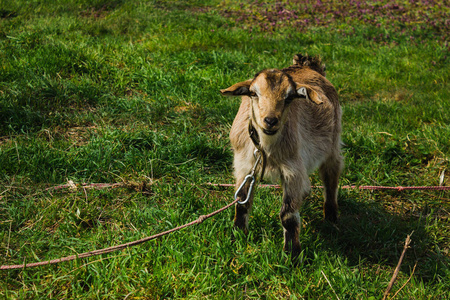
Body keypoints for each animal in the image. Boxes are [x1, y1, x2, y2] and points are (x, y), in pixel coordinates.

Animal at [220, 53, 342, 258]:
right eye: (253, 93)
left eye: (289, 97)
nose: (270, 120)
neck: (266, 149)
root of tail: (308, 66)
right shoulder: (244, 166)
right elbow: (242, 203)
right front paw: (237, 236)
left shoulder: (292, 171)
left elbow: (288, 215)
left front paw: (292, 255)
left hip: (333, 143)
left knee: (331, 176)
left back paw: (332, 216)